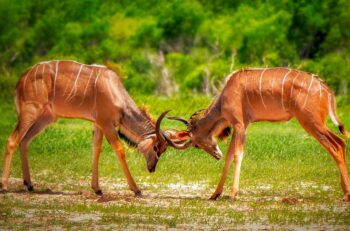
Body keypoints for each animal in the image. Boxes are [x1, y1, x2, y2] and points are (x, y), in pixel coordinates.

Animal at [1, 59, 183, 195]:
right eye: (156, 147)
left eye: (163, 150)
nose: (151, 168)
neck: (115, 91)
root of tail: (21, 80)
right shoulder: (106, 124)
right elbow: (119, 150)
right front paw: (136, 189)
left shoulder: (98, 124)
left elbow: (96, 149)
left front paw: (97, 189)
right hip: (30, 112)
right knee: (12, 140)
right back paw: (4, 186)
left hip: (45, 118)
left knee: (24, 141)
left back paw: (29, 184)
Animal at [167, 67, 350, 201]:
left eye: (196, 145)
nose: (216, 155)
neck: (225, 95)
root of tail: (327, 90)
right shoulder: (242, 126)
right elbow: (229, 155)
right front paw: (215, 194)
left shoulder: (240, 125)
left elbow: (237, 155)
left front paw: (233, 193)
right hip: (318, 124)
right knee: (341, 142)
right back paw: (345, 191)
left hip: (311, 123)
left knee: (335, 147)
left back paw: (346, 194)